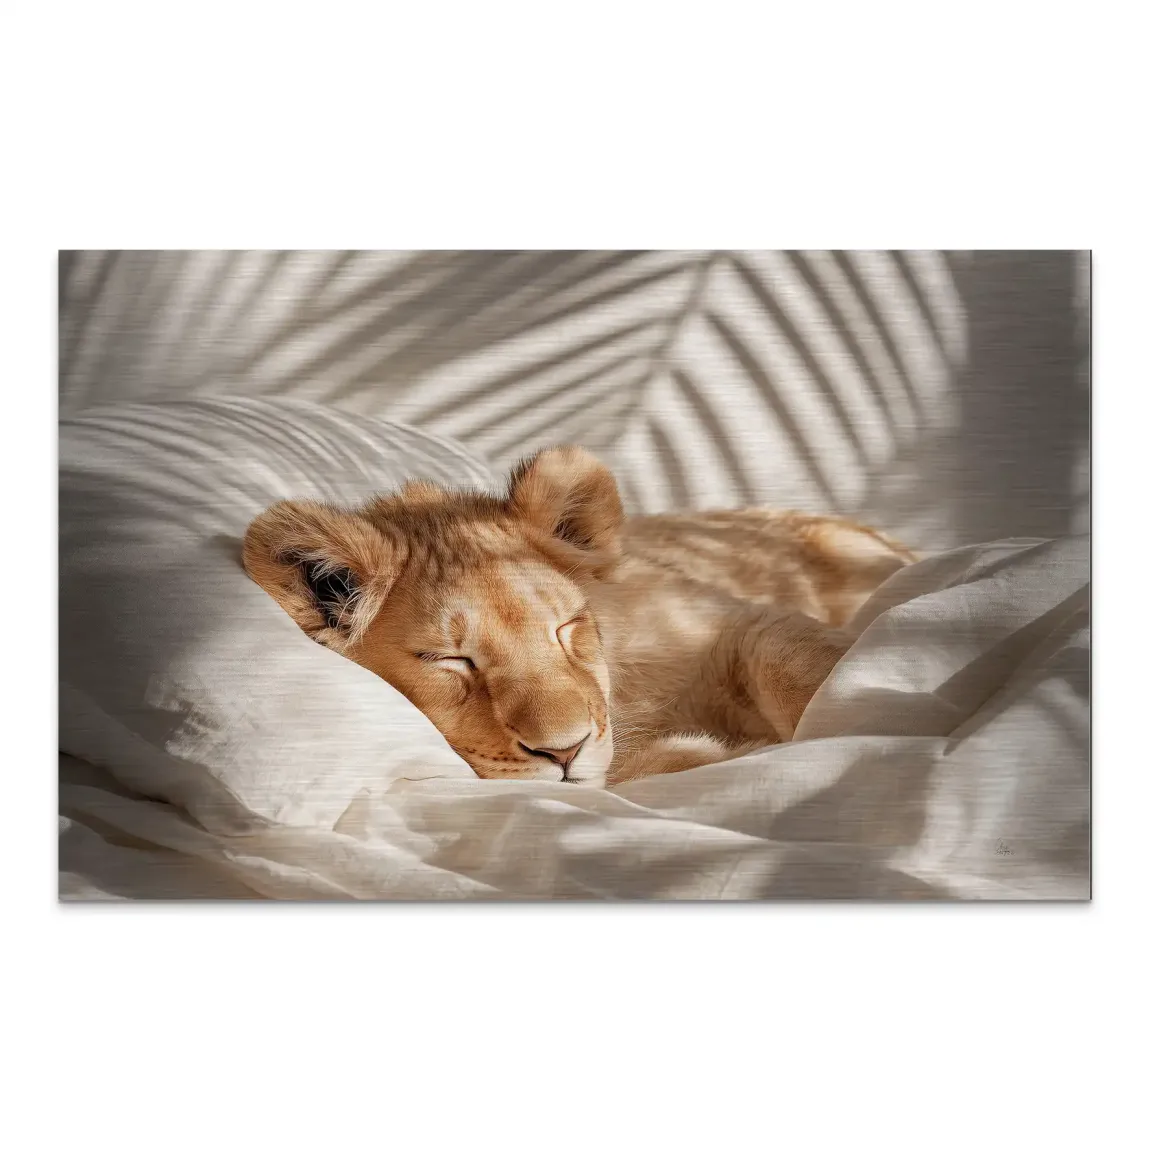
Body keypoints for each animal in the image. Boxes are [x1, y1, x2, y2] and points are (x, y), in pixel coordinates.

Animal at [242, 446, 917, 787]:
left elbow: (793, 660)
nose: (563, 753)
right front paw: (717, 755)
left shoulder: (724, 619)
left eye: (565, 628)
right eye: (450, 660)